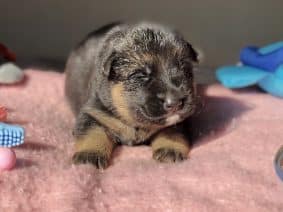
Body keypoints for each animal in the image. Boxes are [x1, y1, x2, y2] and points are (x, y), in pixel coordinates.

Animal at [64, 22, 199, 169]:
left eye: (184, 68)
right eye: (140, 75)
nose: (175, 102)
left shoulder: (178, 121)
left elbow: (172, 132)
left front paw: (170, 151)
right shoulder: (93, 113)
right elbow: (93, 133)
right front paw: (89, 157)